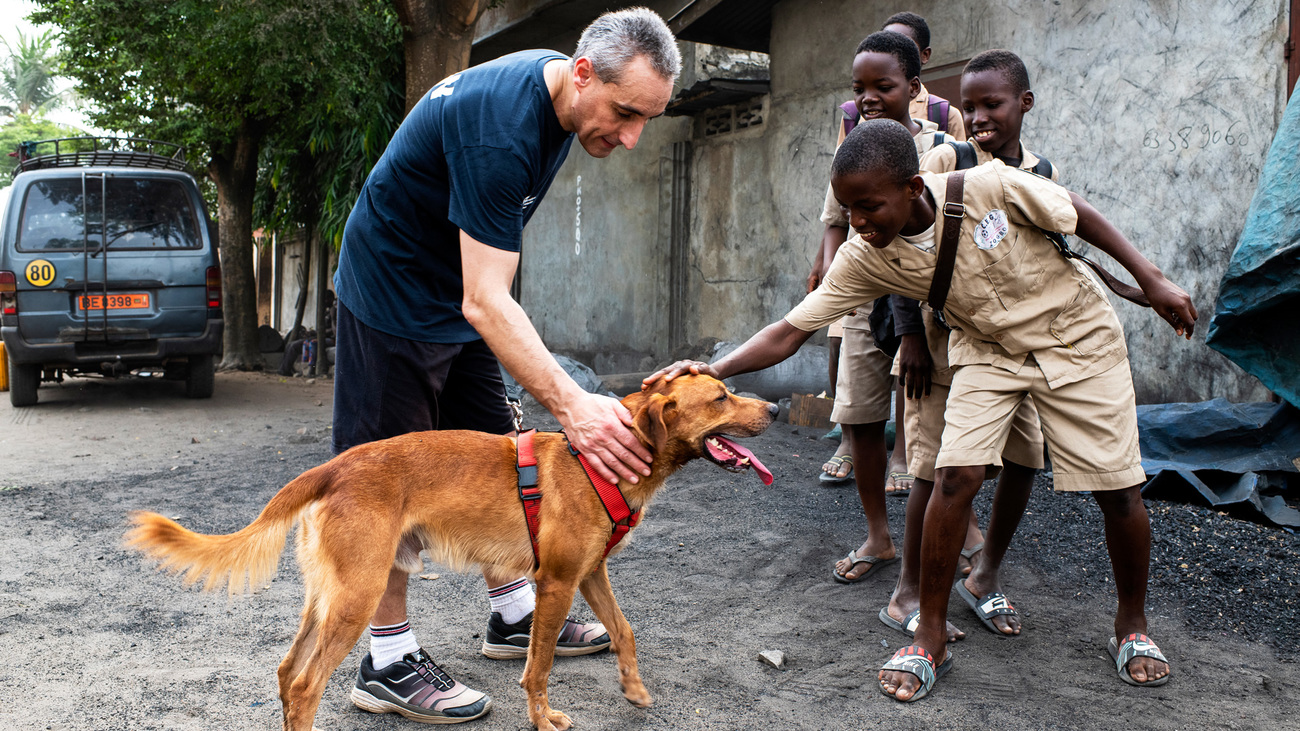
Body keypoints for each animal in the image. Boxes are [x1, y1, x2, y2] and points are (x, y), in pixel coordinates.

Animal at [124, 374, 769, 728]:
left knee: (286, 672)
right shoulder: (558, 582)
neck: (604, 456)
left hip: (329, 594)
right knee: (306, 686)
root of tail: (334, 467)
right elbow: (538, 669)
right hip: (358, 596)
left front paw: (634, 690)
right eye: (721, 396)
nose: (774, 408)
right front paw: (544, 719)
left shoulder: (590, 574)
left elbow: (625, 631)